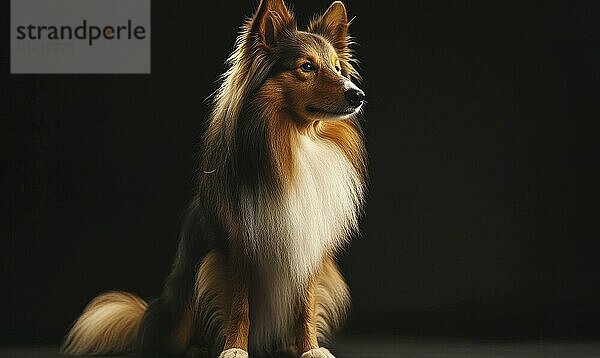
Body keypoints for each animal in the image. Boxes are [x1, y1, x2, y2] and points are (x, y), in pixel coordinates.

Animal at [61, 1, 366, 356]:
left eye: (338, 68)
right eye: (306, 66)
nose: (357, 95)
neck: (295, 140)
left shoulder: (308, 247)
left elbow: (305, 304)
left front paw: (309, 348)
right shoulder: (237, 246)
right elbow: (239, 305)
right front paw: (234, 348)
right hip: (183, 298)